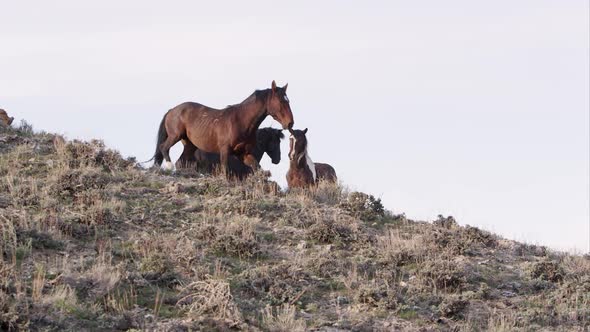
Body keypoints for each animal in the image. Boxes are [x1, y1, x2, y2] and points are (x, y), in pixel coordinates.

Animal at [154, 81, 294, 175]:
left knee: (180, 161)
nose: (290, 123)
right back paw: (169, 167)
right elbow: (225, 172)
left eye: (288, 101)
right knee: (164, 147)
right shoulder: (225, 151)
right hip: (175, 135)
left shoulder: (244, 154)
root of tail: (172, 110)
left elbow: (257, 167)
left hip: (190, 145)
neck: (240, 122)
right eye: (281, 101)